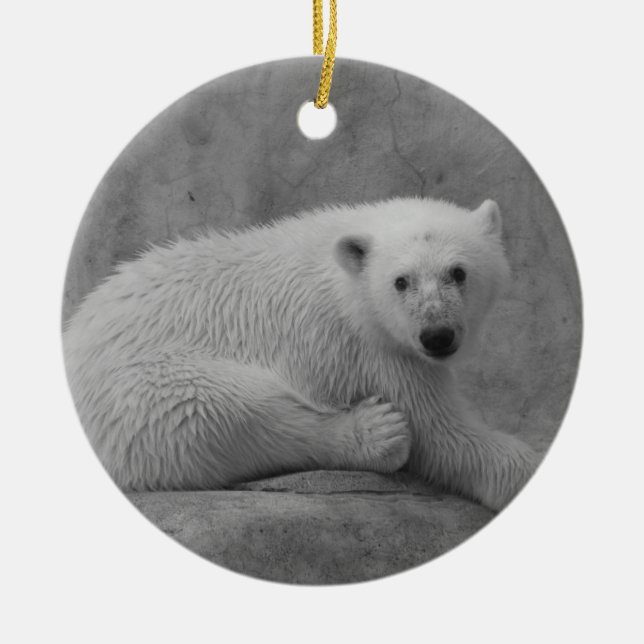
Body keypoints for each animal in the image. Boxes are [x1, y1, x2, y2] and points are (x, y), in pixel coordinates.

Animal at [63, 196, 539, 510]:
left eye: (458, 272)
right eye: (401, 281)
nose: (437, 336)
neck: (346, 274)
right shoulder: (377, 347)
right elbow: (448, 436)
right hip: (142, 382)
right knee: (218, 410)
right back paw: (377, 432)